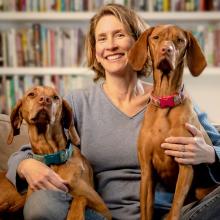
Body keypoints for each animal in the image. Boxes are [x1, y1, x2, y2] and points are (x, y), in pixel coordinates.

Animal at [5, 85, 111, 220]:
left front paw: (75, 216)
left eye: (56, 97)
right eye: (31, 94)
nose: (45, 100)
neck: (51, 157)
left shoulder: (103, 208)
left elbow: (80, 197)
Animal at [129, 24, 217, 219]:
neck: (165, 102)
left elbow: (176, 206)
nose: (166, 49)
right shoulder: (147, 170)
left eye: (180, 40)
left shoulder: (186, 167)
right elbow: (146, 209)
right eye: (156, 37)